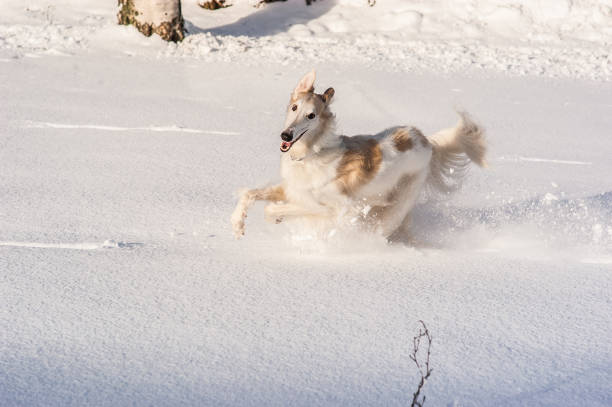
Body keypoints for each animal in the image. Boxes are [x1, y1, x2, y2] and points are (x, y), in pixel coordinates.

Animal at [232, 71, 486, 241]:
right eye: (294, 108)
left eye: (311, 115)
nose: (286, 135)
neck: (312, 154)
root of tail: (424, 140)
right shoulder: (291, 189)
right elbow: (248, 193)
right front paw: (237, 225)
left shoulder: (334, 208)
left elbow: (272, 208)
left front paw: (274, 217)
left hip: (396, 207)